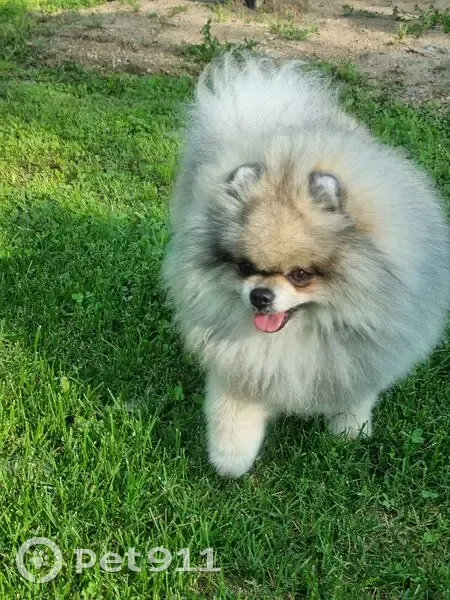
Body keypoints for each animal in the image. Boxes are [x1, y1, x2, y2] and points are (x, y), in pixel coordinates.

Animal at [162, 54, 449, 478]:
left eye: (300, 275)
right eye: (244, 266)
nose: (260, 296)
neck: (303, 332)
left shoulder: (364, 350)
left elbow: (357, 390)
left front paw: (350, 430)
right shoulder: (240, 358)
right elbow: (233, 407)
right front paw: (230, 458)